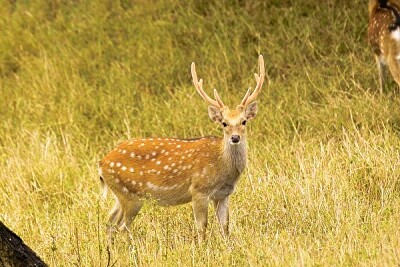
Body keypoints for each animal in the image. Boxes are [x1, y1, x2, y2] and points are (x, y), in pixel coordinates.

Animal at [97, 55, 266, 244]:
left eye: (244, 121)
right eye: (224, 123)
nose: (235, 138)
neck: (223, 167)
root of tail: (102, 164)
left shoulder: (223, 195)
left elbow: (225, 227)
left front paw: (227, 247)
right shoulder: (199, 190)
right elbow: (202, 227)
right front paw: (202, 248)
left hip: (120, 194)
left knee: (110, 222)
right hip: (131, 196)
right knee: (122, 227)